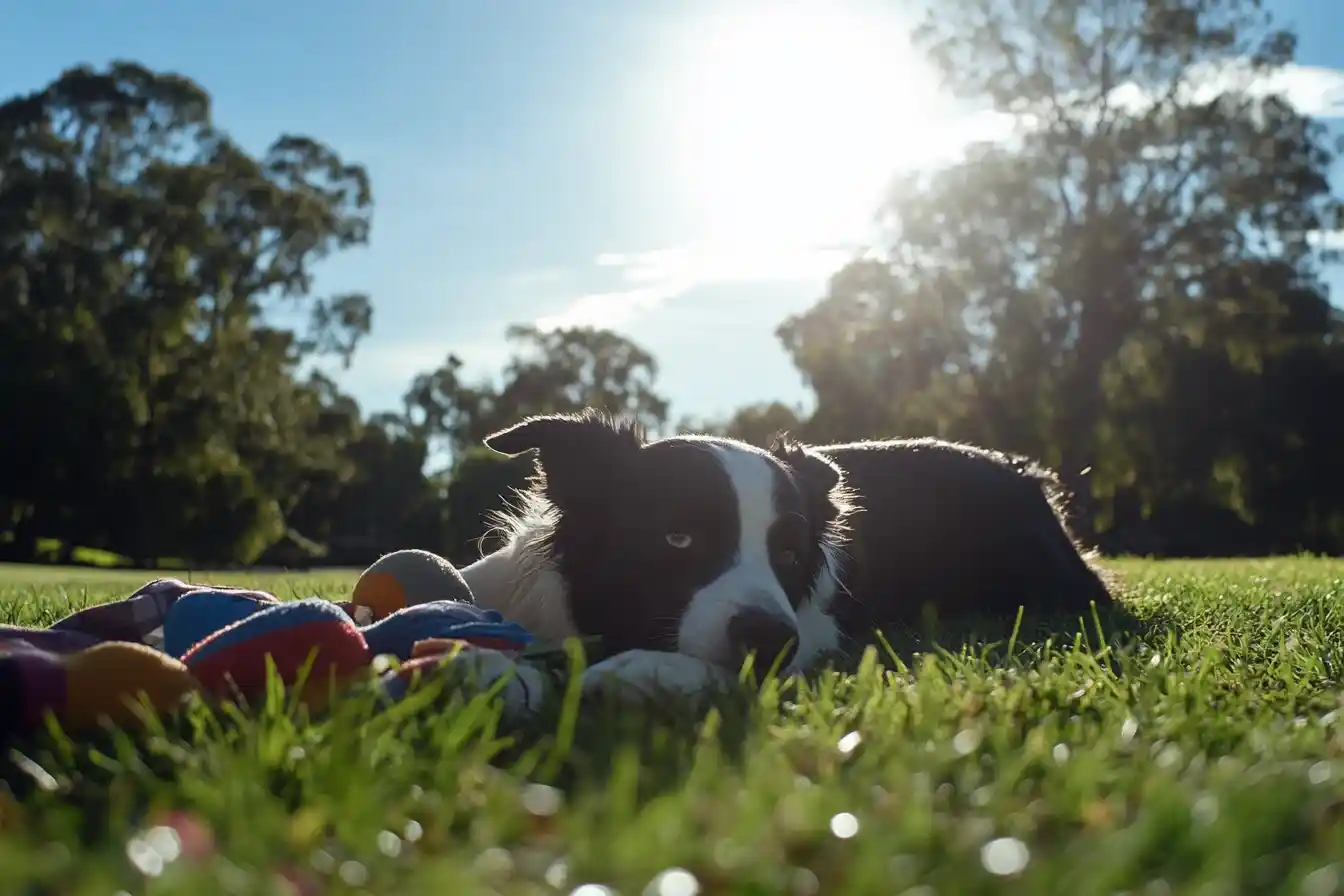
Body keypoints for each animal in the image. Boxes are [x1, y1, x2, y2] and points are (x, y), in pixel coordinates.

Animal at [459, 411, 1112, 709]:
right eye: (677, 539)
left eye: (790, 555)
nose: (769, 639)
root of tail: (1022, 471)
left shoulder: (818, 633)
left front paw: (639, 671)